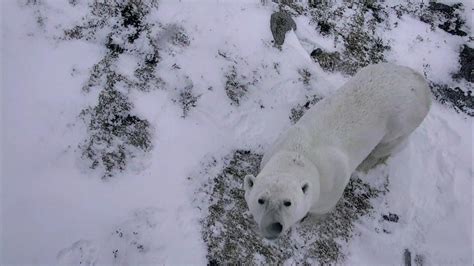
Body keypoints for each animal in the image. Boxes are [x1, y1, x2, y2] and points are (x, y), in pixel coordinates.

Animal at [243, 62, 432, 239]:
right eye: (261, 200)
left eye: (287, 202)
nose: (273, 226)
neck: (300, 154)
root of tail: (423, 85)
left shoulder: (331, 184)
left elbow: (321, 209)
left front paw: (307, 223)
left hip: (401, 121)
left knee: (386, 145)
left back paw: (366, 164)